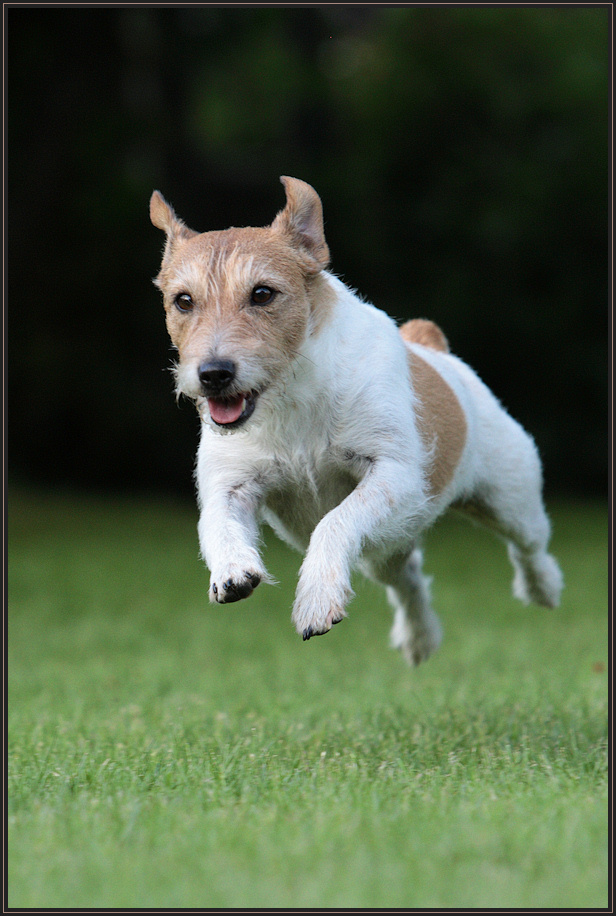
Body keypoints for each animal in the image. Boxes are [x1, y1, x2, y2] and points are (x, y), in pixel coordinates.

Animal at [149, 179, 564, 664]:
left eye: (263, 294)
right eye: (183, 301)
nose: (213, 374)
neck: (293, 396)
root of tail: (431, 346)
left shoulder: (394, 475)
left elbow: (334, 522)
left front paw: (315, 599)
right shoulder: (230, 484)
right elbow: (216, 524)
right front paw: (233, 570)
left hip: (507, 497)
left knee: (530, 546)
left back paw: (543, 588)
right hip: (387, 544)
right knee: (409, 578)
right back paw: (419, 636)